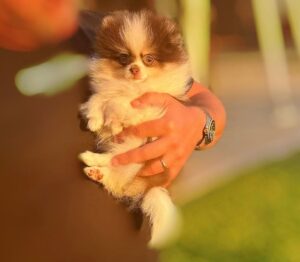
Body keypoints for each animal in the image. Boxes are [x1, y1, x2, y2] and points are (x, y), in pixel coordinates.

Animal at [79, 9, 192, 248]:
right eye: (124, 58)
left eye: (149, 59)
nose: (134, 68)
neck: (132, 86)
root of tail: (148, 186)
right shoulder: (110, 89)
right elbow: (100, 96)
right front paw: (95, 118)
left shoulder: (149, 106)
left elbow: (118, 103)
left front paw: (114, 119)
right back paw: (93, 167)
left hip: (136, 153)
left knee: (117, 165)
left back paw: (94, 164)